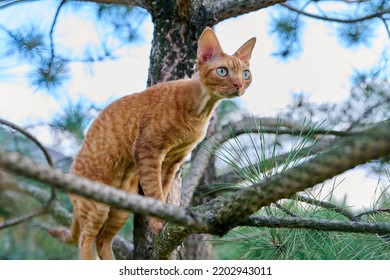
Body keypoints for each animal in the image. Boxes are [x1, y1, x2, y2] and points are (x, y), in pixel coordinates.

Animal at [51, 27, 256, 260]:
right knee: (85, 242)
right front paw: (159, 223)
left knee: (102, 241)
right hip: (95, 206)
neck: (201, 110)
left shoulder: (172, 160)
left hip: (121, 206)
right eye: (222, 71)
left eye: (246, 74)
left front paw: (162, 220)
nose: (239, 85)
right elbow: (155, 192)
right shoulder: (148, 150)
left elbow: (161, 192)